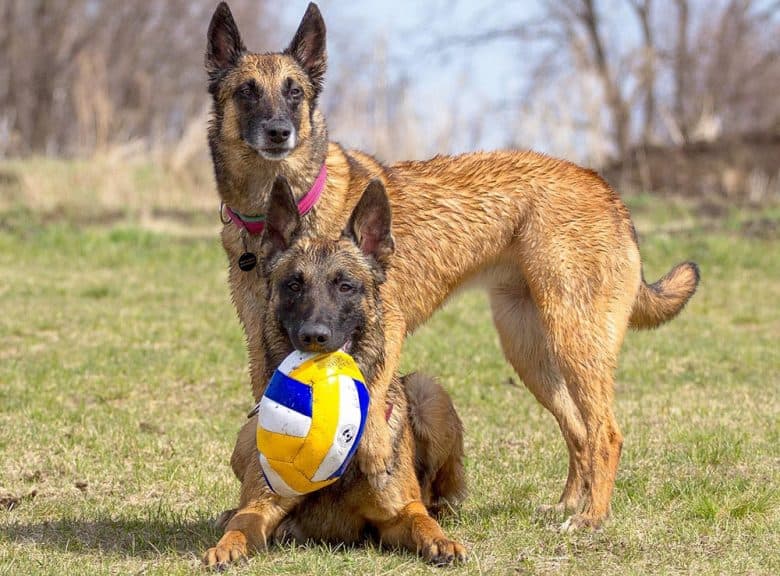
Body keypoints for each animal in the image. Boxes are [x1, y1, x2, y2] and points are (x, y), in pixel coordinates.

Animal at [204, 179, 466, 568]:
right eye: (293, 285)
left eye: (345, 286)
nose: (314, 336)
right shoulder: (262, 505)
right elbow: (243, 522)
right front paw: (226, 545)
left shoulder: (399, 513)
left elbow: (421, 521)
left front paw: (442, 541)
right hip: (247, 432)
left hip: (427, 394)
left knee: (439, 496)